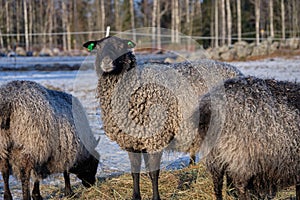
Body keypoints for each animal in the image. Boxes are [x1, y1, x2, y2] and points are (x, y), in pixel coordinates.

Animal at [83, 36, 243, 200]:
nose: (106, 62)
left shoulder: (156, 137)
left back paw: (232, 191)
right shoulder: (132, 141)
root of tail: (234, 70)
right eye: (98, 47)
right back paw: (231, 191)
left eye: (120, 46)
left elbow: (154, 173)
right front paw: (136, 196)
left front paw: (156, 197)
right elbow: (135, 171)